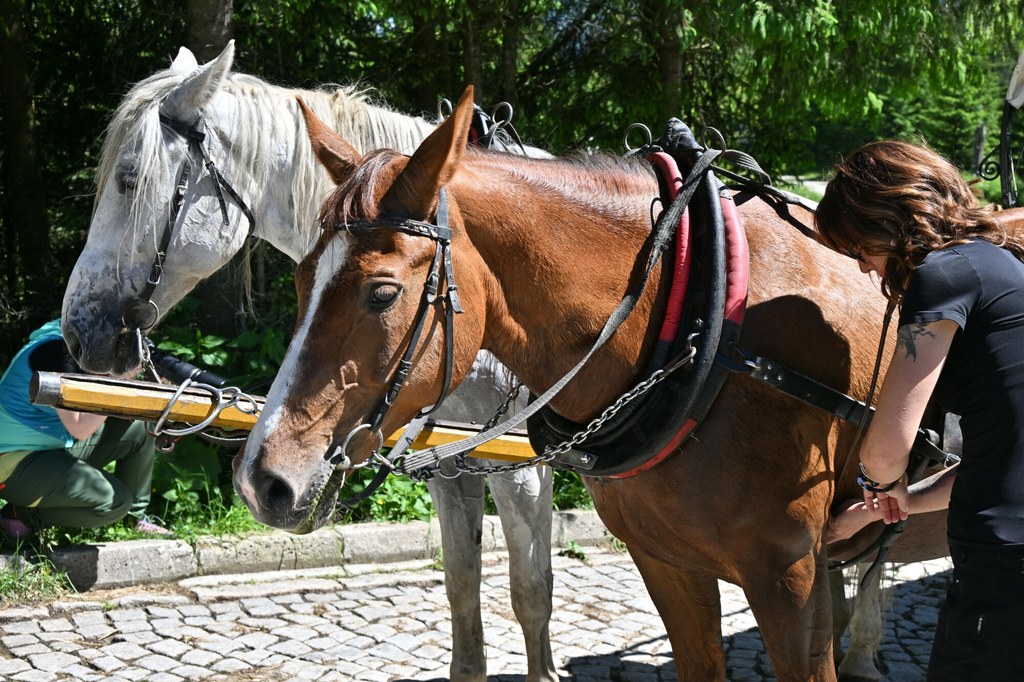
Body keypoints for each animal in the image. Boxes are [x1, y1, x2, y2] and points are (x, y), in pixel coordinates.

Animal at [61, 42, 561, 679]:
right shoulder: (449, 466)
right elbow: (462, 593)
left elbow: (531, 592)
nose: (77, 331)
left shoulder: (520, 466)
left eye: (128, 179)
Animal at [230, 87, 942, 675]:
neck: (705, 324)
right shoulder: (666, 562)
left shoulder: (788, 573)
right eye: (302, 279)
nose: (262, 480)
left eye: (382, 293)